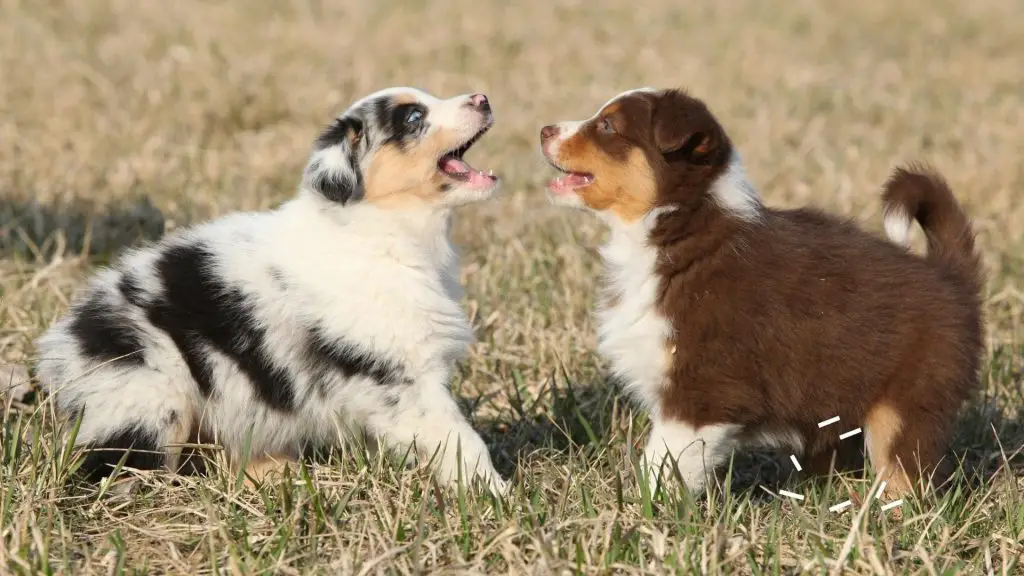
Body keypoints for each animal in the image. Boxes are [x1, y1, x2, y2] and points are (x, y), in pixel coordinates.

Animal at [544, 86, 983, 498]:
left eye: (607, 126)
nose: (545, 129)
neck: (678, 229)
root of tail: (949, 276)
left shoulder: (702, 391)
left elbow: (662, 461)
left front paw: (646, 509)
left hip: (906, 404)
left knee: (908, 476)